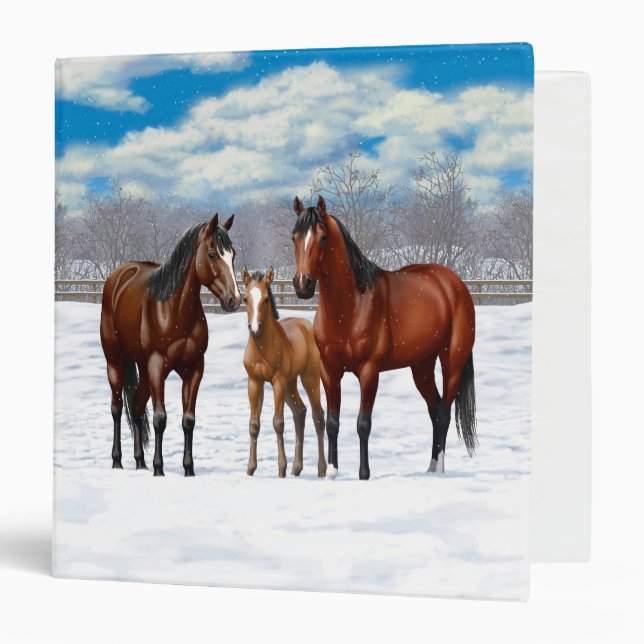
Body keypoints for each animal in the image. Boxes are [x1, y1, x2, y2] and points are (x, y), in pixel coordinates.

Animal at [100, 213, 242, 477]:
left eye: (233, 254)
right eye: (212, 253)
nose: (234, 299)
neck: (174, 310)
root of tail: (118, 275)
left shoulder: (194, 369)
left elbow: (188, 421)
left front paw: (189, 469)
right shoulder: (157, 367)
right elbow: (160, 418)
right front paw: (159, 469)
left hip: (143, 370)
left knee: (136, 407)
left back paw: (140, 462)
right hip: (115, 361)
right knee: (117, 408)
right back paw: (117, 461)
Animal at [241, 266, 327, 479]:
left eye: (266, 299)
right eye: (245, 298)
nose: (254, 328)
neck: (262, 348)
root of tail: (307, 326)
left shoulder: (277, 381)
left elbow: (278, 422)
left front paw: (281, 469)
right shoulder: (254, 381)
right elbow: (254, 425)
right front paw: (250, 469)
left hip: (309, 378)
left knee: (318, 415)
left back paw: (321, 469)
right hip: (290, 383)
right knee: (300, 412)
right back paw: (297, 468)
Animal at [291, 195, 477, 480]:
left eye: (322, 237)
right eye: (294, 237)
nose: (303, 284)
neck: (351, 305)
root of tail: (454, 284)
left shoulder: (369, 371)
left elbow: (363, 423)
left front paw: (364, 474)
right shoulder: (329, 370)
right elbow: (333, 422)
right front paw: (332, 472)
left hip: (452, 363)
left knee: (444, 413)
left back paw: (440, 470)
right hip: (421, 366)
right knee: (434, 410)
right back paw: (430, 467)